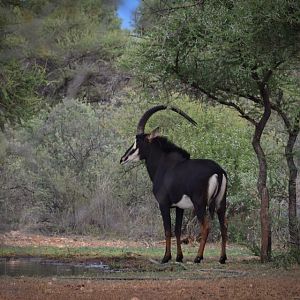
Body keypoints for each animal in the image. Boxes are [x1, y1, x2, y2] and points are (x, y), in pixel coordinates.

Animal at [119, 106, 227, 264]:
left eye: (138, 141)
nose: (123, 158)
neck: (164, 166)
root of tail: (218, 171)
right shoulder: (179, 207)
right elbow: (177, 230)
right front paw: (179, 257)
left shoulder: (163, 204)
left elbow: (167, 230)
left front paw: (166, 257)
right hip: (221, 203)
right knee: (224, 226)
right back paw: (222, 258)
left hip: (200, 204)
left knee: (206, 226)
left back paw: (198, 257)